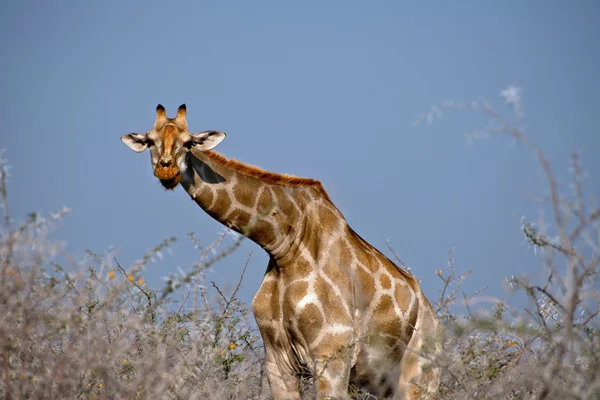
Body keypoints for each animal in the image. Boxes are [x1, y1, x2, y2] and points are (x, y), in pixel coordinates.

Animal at [123, 104, 440, 398]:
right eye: (150, 141)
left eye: (189, 143)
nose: (166, 169)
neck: (285, 247)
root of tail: (433, 319)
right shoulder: (278, 361)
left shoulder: (331, 356)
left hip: (419, 377)